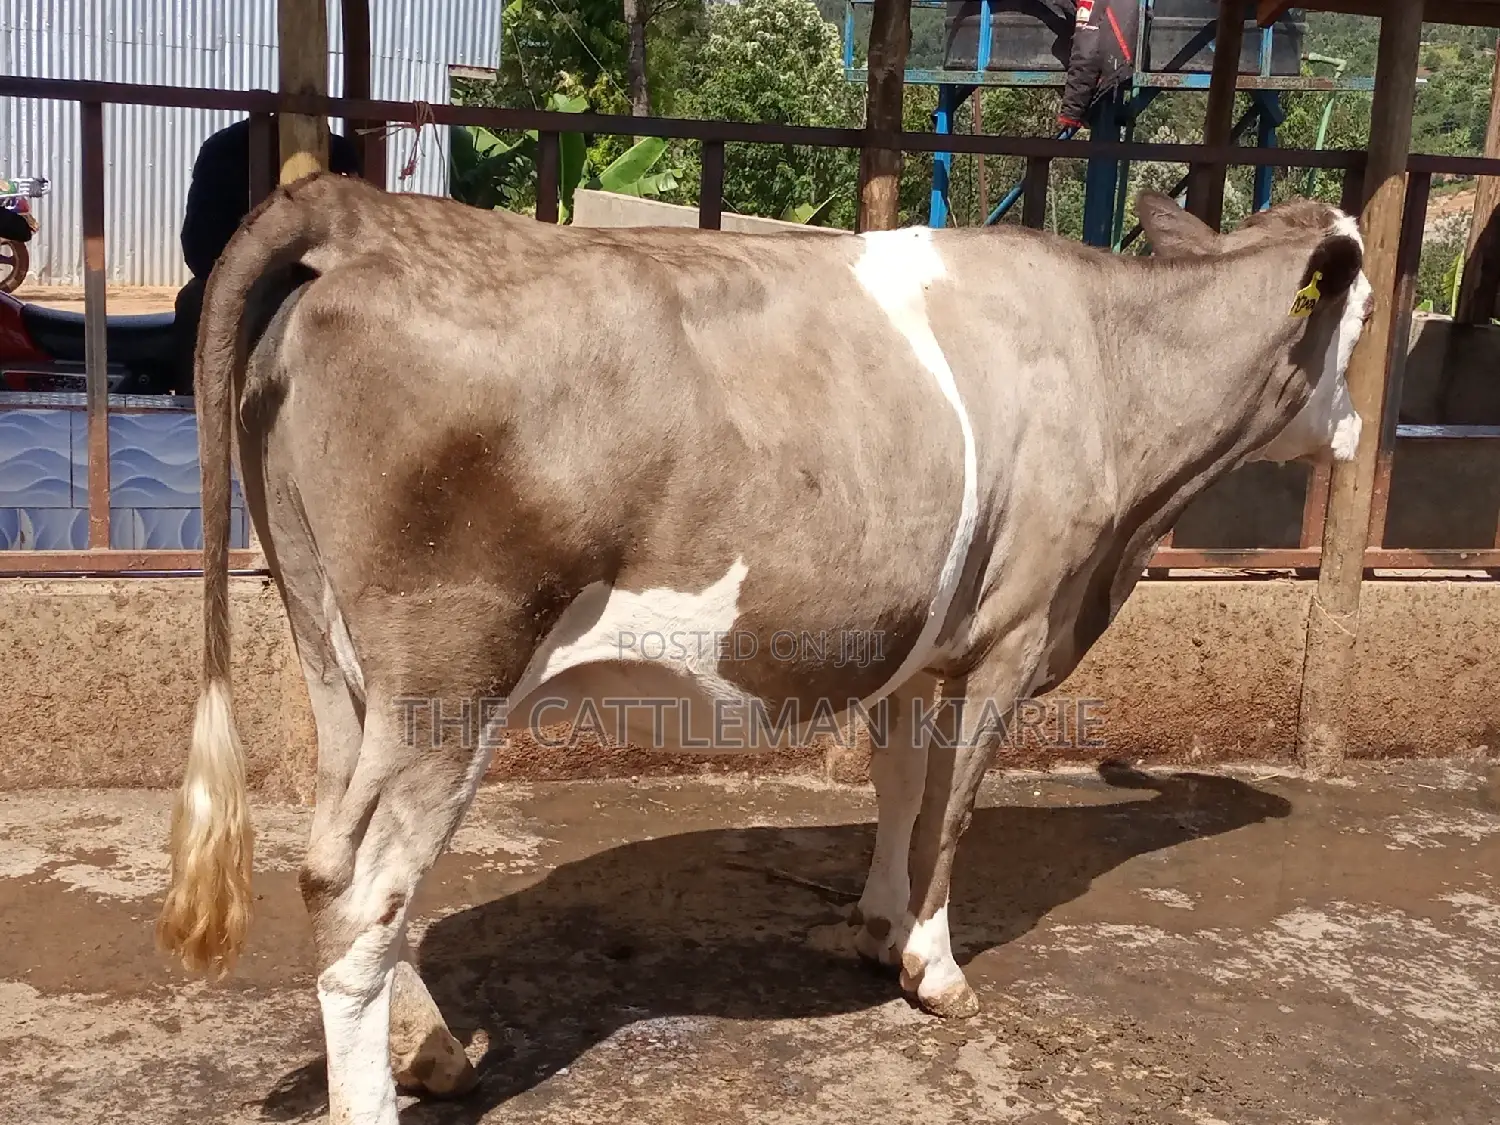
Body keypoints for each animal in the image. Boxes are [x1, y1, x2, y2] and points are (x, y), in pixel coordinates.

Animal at [154, 171, 1371, 1125]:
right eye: (1357, 329)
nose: (1358, 429)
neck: (1114, 369)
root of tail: (359, 212)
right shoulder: (1016, 631)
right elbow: (956, 804)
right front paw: (935, 968)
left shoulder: (916, 635)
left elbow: (900, 784)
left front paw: (877, 924)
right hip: (453, 673)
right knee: (367, 889)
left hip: (335, 658)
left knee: (334, 863)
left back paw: (436, 1051)